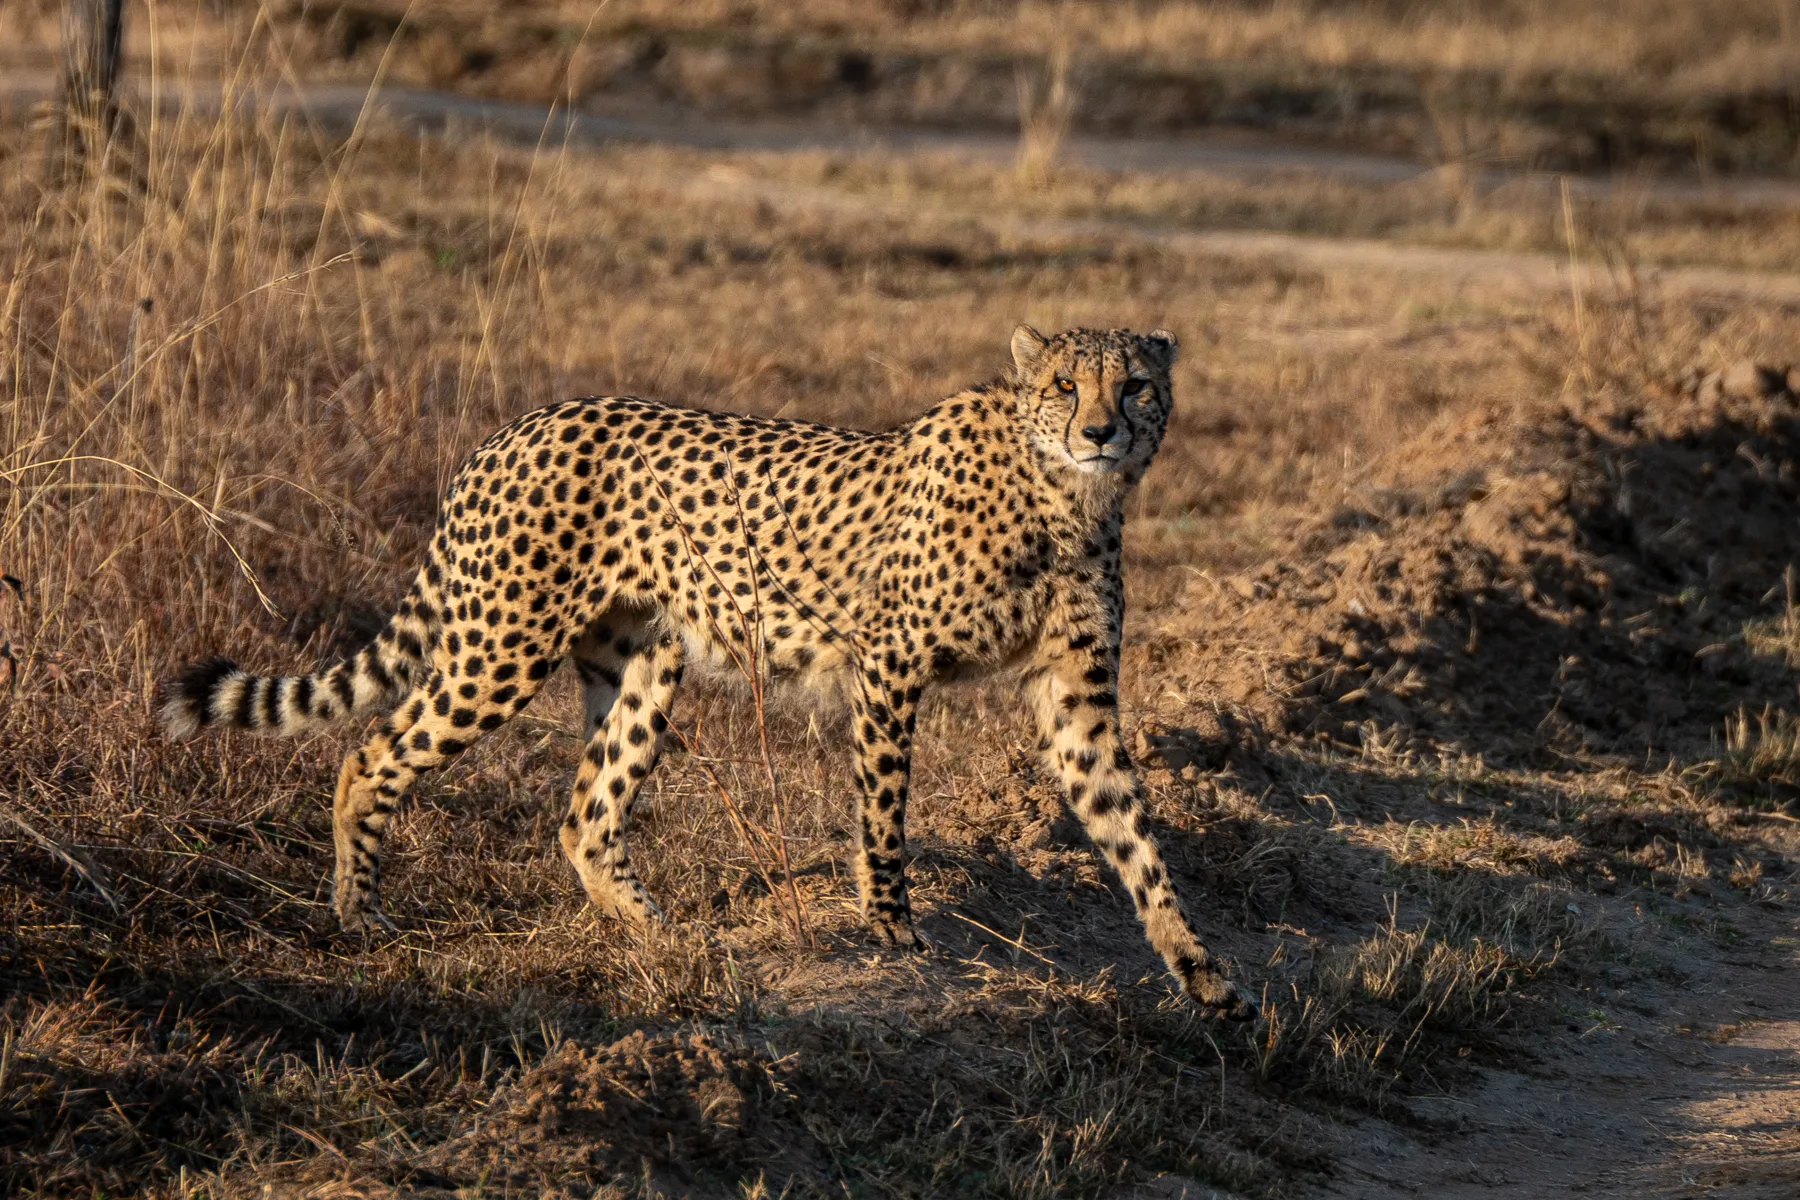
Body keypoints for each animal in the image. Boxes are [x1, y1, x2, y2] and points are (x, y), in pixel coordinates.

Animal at [159, 325, 1253, 1019]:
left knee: (585, 813)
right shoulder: (888, 666)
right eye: (1065, 385)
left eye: (1135, 385)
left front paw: (1202, 972)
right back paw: (360, 911)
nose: (1101, 430)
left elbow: (1132, 835)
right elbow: (885, 815)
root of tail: (517, 425)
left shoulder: (1076, 701)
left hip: (645, 665)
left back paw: (662, 935)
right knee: (373, 752)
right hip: (500, 645)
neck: (1063, 496)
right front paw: (891, 931)